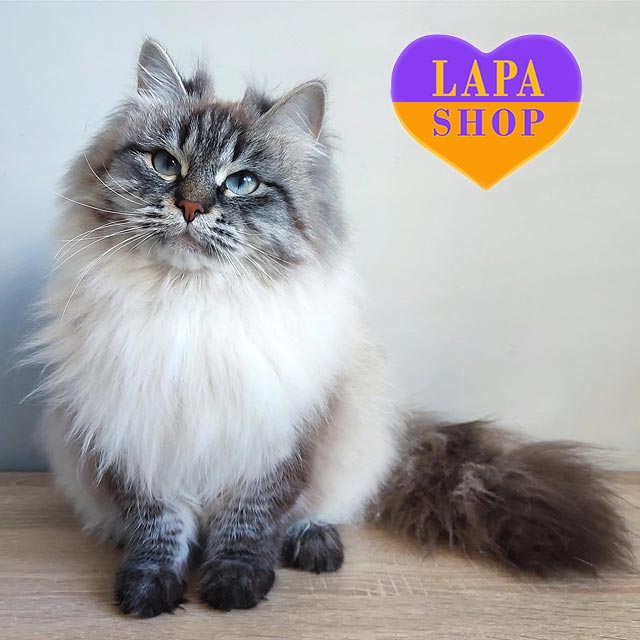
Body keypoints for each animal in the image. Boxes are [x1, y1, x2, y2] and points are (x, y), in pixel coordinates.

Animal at [28, 39, 632, 617]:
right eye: (163, 163)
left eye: (241, 183)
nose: (190, 206)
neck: (192, 303)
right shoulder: (137, 435)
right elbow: (157, 528)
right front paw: (149, 590)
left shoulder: (279, 440)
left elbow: (247, 525)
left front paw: (235, 587)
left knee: (323, 512)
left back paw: (315, 546)